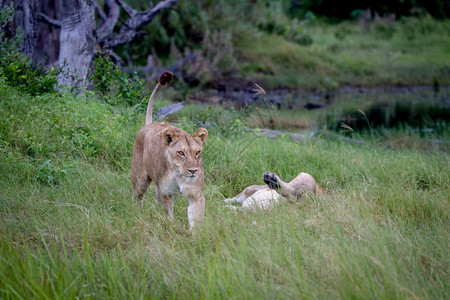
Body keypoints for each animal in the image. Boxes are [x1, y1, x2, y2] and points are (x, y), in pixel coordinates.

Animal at [130, 72, 207, 227]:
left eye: (197, 152)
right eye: (181, 153)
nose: (193, 171)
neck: (178, 173)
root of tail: (148, 125)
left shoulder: (195, 193)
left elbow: (196, 218)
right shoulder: (166, 193)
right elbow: (169, 215)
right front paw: (171, 228)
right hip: (140, 178)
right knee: (137, 195)